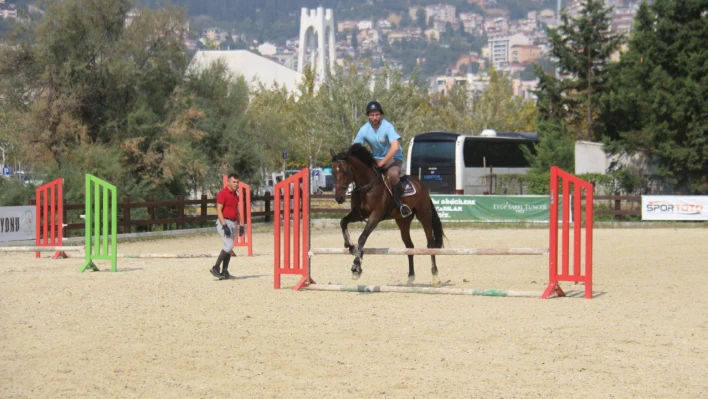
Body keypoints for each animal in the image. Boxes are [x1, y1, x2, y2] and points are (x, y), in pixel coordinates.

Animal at [330, 144, 446, 288]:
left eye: (346, 171)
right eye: (333, 172)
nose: (339, 198)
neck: (366, 187)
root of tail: (422, 185)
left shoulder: (375, 216)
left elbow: (362, 238)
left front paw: (356, 267)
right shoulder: (357, 214)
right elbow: (343, 222)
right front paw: (350, 246)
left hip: (424, 215)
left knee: (430, 244)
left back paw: (435, 277)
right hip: (402, 221)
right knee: (409, 246)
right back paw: (410, 278)